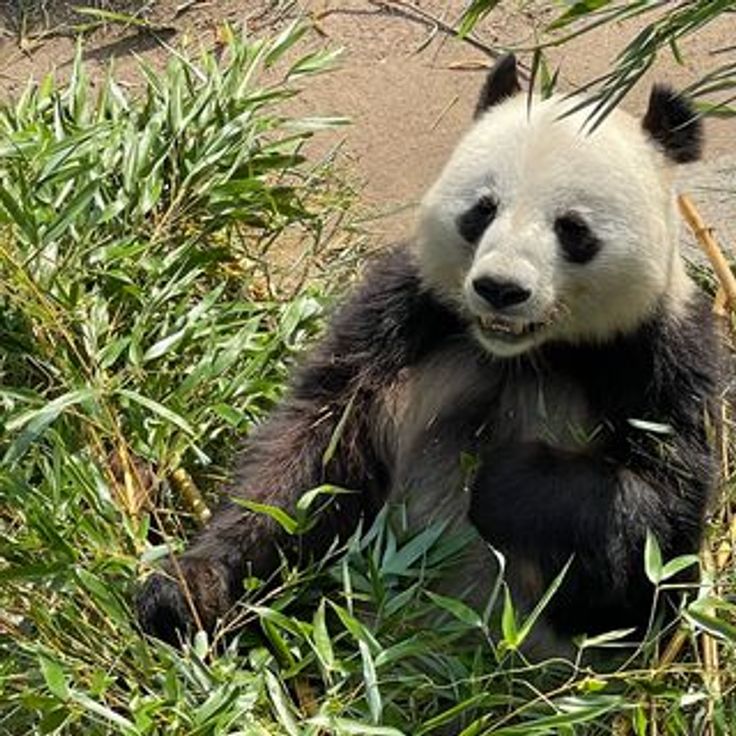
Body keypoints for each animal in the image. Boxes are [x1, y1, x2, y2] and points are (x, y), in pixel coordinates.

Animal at [137, 54, 720, 655]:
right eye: (482, 211)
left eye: (573, 229)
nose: (500, 289)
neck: (522, 352)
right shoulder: (405, 310)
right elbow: (310, 452)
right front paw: (187, 590)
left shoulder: (660, 356)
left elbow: (655, 533)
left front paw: (502, 479)